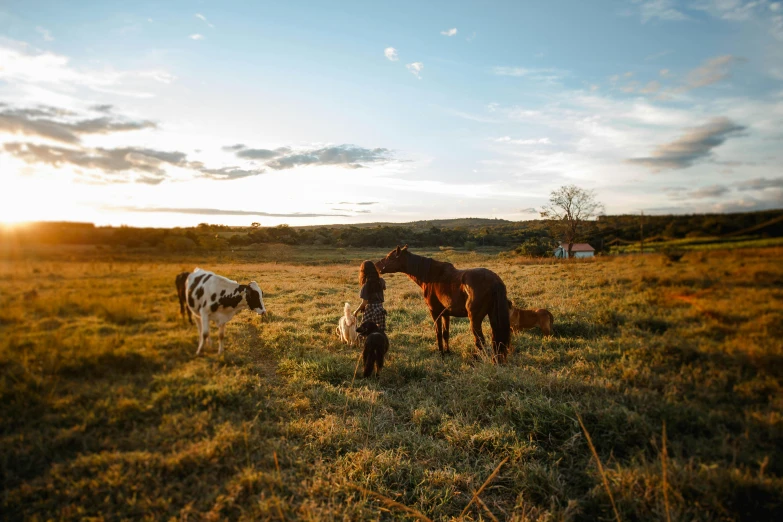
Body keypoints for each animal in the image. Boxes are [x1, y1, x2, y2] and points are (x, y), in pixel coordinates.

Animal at [376, 245, 512, 360]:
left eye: (390, 257)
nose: (376, 266)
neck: (431, 276)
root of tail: (495, 281)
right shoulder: (446, 314)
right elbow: (446, 333)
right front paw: (447, 352)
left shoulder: (435, 312)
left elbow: (438, 333)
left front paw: (441, 353)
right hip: (493, 317)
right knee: (496, 340)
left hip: (475, 319)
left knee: (480, 341)